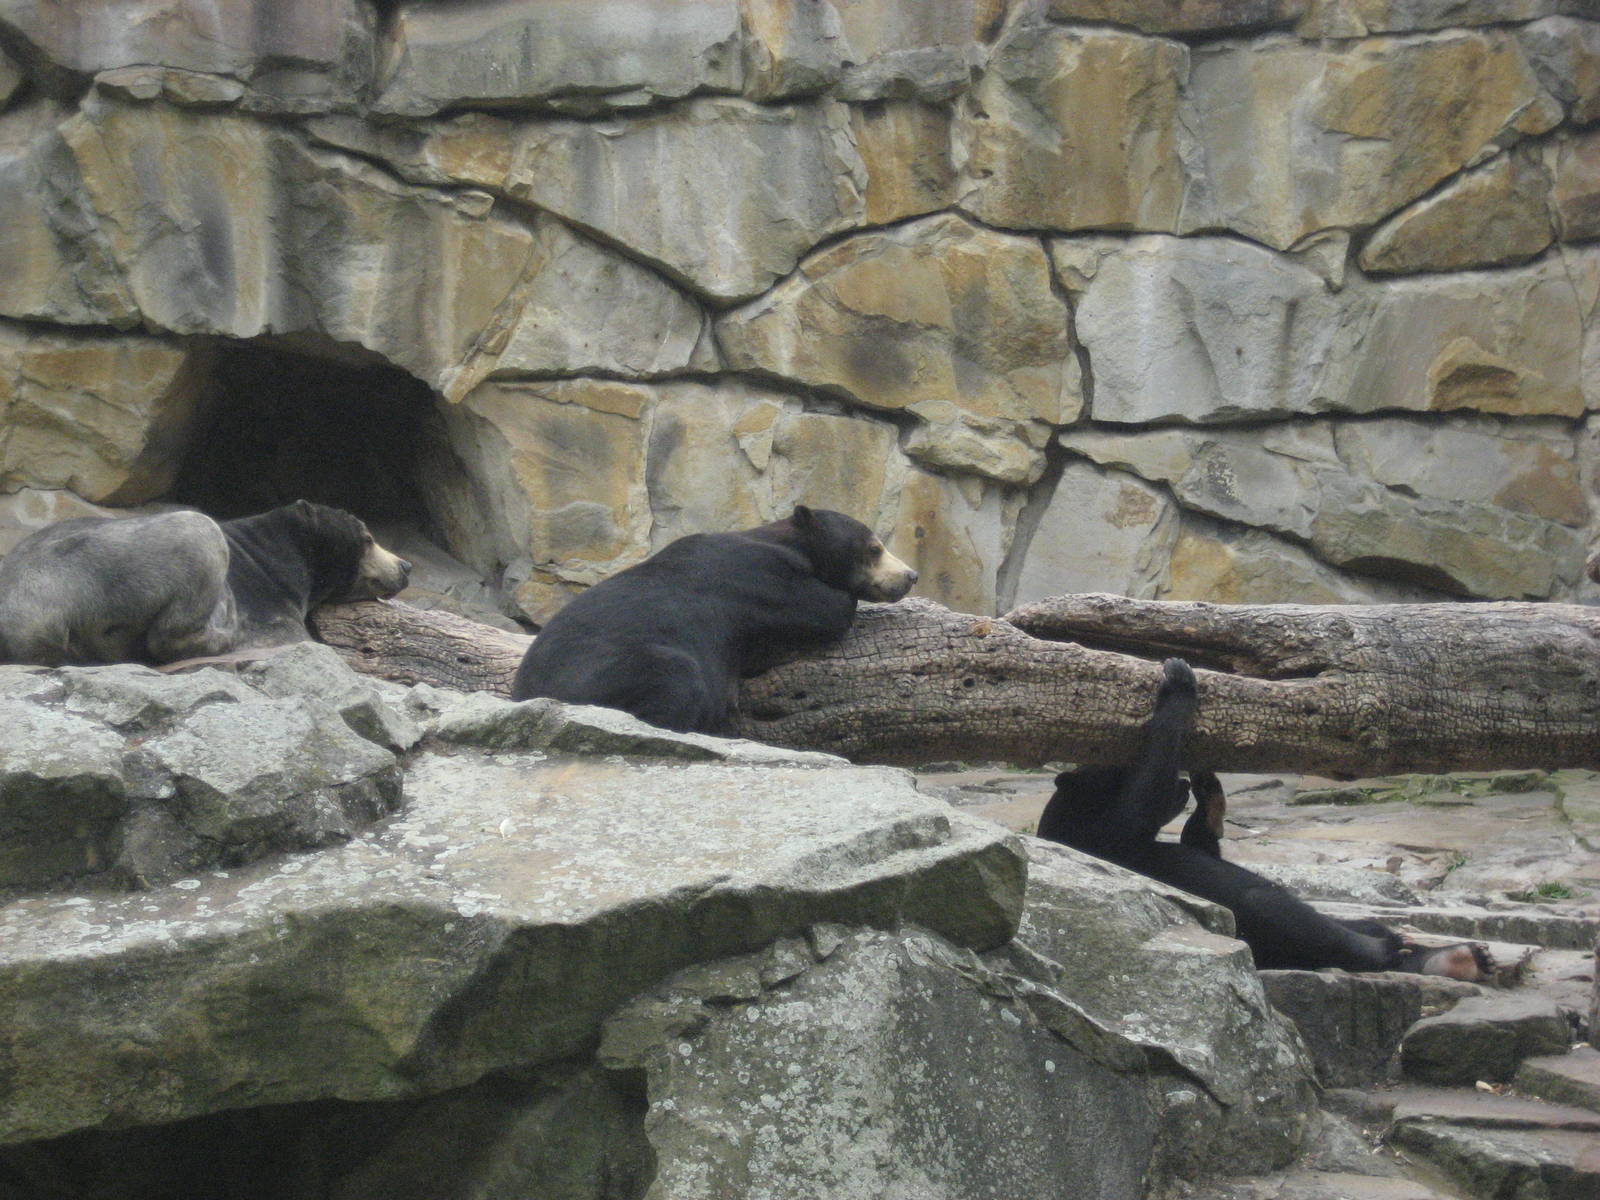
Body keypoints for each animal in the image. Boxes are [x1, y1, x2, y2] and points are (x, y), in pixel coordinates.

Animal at [0, 499, 411, 667]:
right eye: (368, 538)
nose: (406, 566)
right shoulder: (267, 599)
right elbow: (290, 637)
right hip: (105, 569)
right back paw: (223, 637)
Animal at [511, 505, 918, 734]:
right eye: (875, 548)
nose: (910, 575)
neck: (789, 545)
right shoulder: (760, 580)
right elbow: (829, 610)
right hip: (605, 674)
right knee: (677, 677)